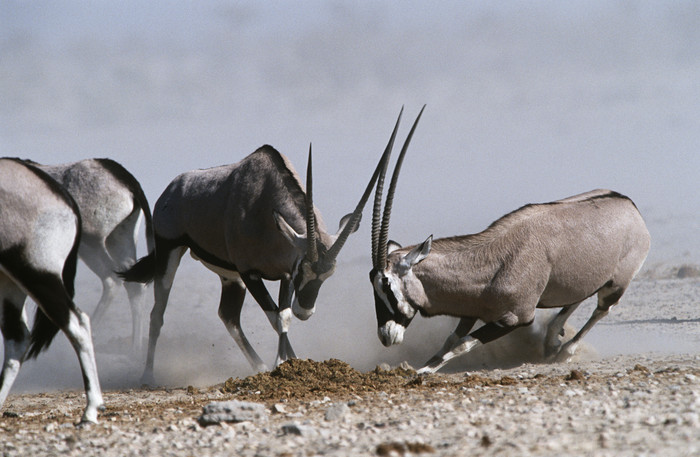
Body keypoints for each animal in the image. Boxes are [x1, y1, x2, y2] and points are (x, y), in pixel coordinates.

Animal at [0, 158, 104, 424]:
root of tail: (63, 196)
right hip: (10, 282)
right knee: (18, 337)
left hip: (36, 274)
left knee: (76, 323)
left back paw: (90, 411)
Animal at [32, 159, 153, 350]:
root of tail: (127, 181)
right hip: (118, 239)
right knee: (133, 285)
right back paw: (136, 350)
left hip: (90, 244)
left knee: (111, 279)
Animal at [122, 136, 396, 384]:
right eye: (303, 271)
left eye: (328, 275)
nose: (305, 311)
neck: (264, 203)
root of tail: (171, 189)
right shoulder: (251, 273)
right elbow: (274, 316)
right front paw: (282, 364)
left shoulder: (283, 274)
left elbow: (283, 316)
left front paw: (290, 362)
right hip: (170, 254)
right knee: (157, 314)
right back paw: (147, 376)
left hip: (229, 276)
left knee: (229, 316)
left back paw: (260, 365)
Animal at [372, 116, 652, 372]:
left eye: (387, 286)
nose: (386, 336)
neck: (490, 265)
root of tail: (629, 204)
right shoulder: (472, 312)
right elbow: (452, 338)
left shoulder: (515, 318)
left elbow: (462, 343)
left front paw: (422, 372)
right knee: (576, 298)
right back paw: (552, 340)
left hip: (615, 284)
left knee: (602, 309)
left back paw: (565, 350)